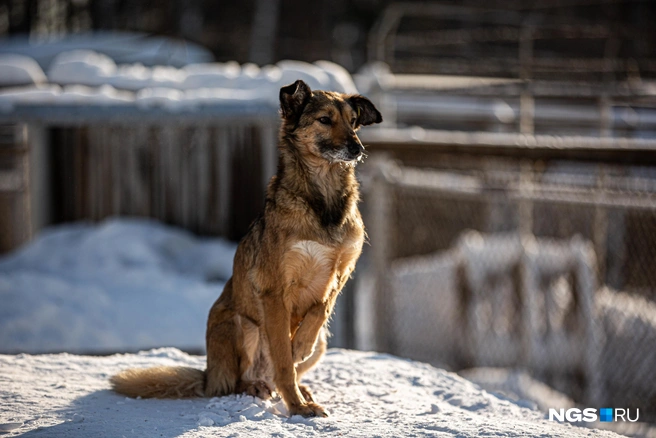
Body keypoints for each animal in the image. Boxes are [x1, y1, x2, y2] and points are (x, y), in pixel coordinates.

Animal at [110, 78, 382, 418]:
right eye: (324, 120)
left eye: (353, 121)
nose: (357, 149)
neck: (323, 200)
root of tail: (209, 375)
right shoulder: (274, 290)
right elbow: (283, 360)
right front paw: (297, 407)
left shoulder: (339, 274)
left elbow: (319, 312)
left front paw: (300, 346)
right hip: (243, 325)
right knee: (240, 381)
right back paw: (260, 387)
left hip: (323, 342)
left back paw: (297, 383)